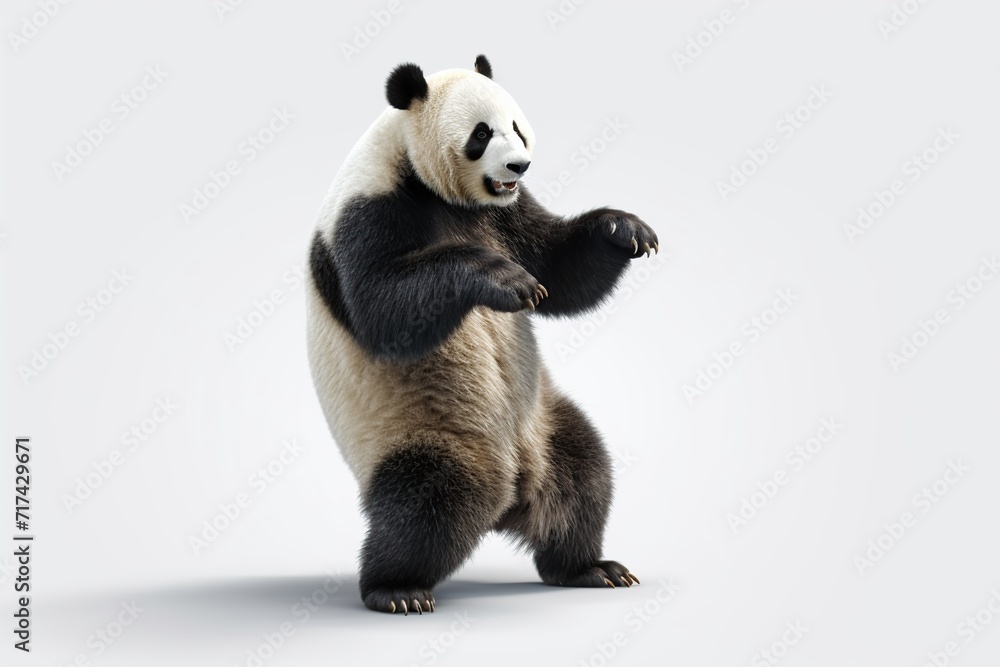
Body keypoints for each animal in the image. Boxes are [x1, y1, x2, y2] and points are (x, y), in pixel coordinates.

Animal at [306, 55, 658, 614]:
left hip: (543, 422)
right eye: (481, 133)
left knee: (584, 474)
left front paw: (623, 229)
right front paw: (502, 280)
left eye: (517, 126)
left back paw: (588, 567)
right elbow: (382, 311)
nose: (519, 167)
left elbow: (559, 269)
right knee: (427, 502)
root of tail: (512, 497)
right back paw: (397, 589)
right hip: (426, 431)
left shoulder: (504, 215)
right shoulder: (367, 212)